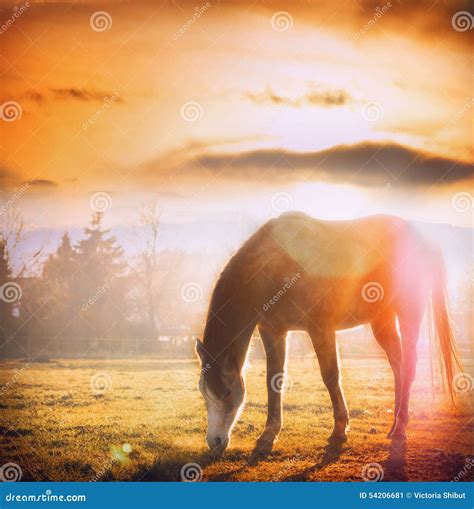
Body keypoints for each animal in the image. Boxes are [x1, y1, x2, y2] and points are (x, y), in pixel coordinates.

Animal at [195, 210, 460, 456]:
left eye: (227, 391)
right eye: (203, 391)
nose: (214, 442)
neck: (276, 266)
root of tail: (424, 239)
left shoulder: (320, 329)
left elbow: (330, 376)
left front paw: (340, 430)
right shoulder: (273, 332)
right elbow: (274, 379)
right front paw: (268, 435)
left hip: (408, 313)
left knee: (409, 365)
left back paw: (401, 427)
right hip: (382, 320)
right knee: (398, 366)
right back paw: (395, 424)